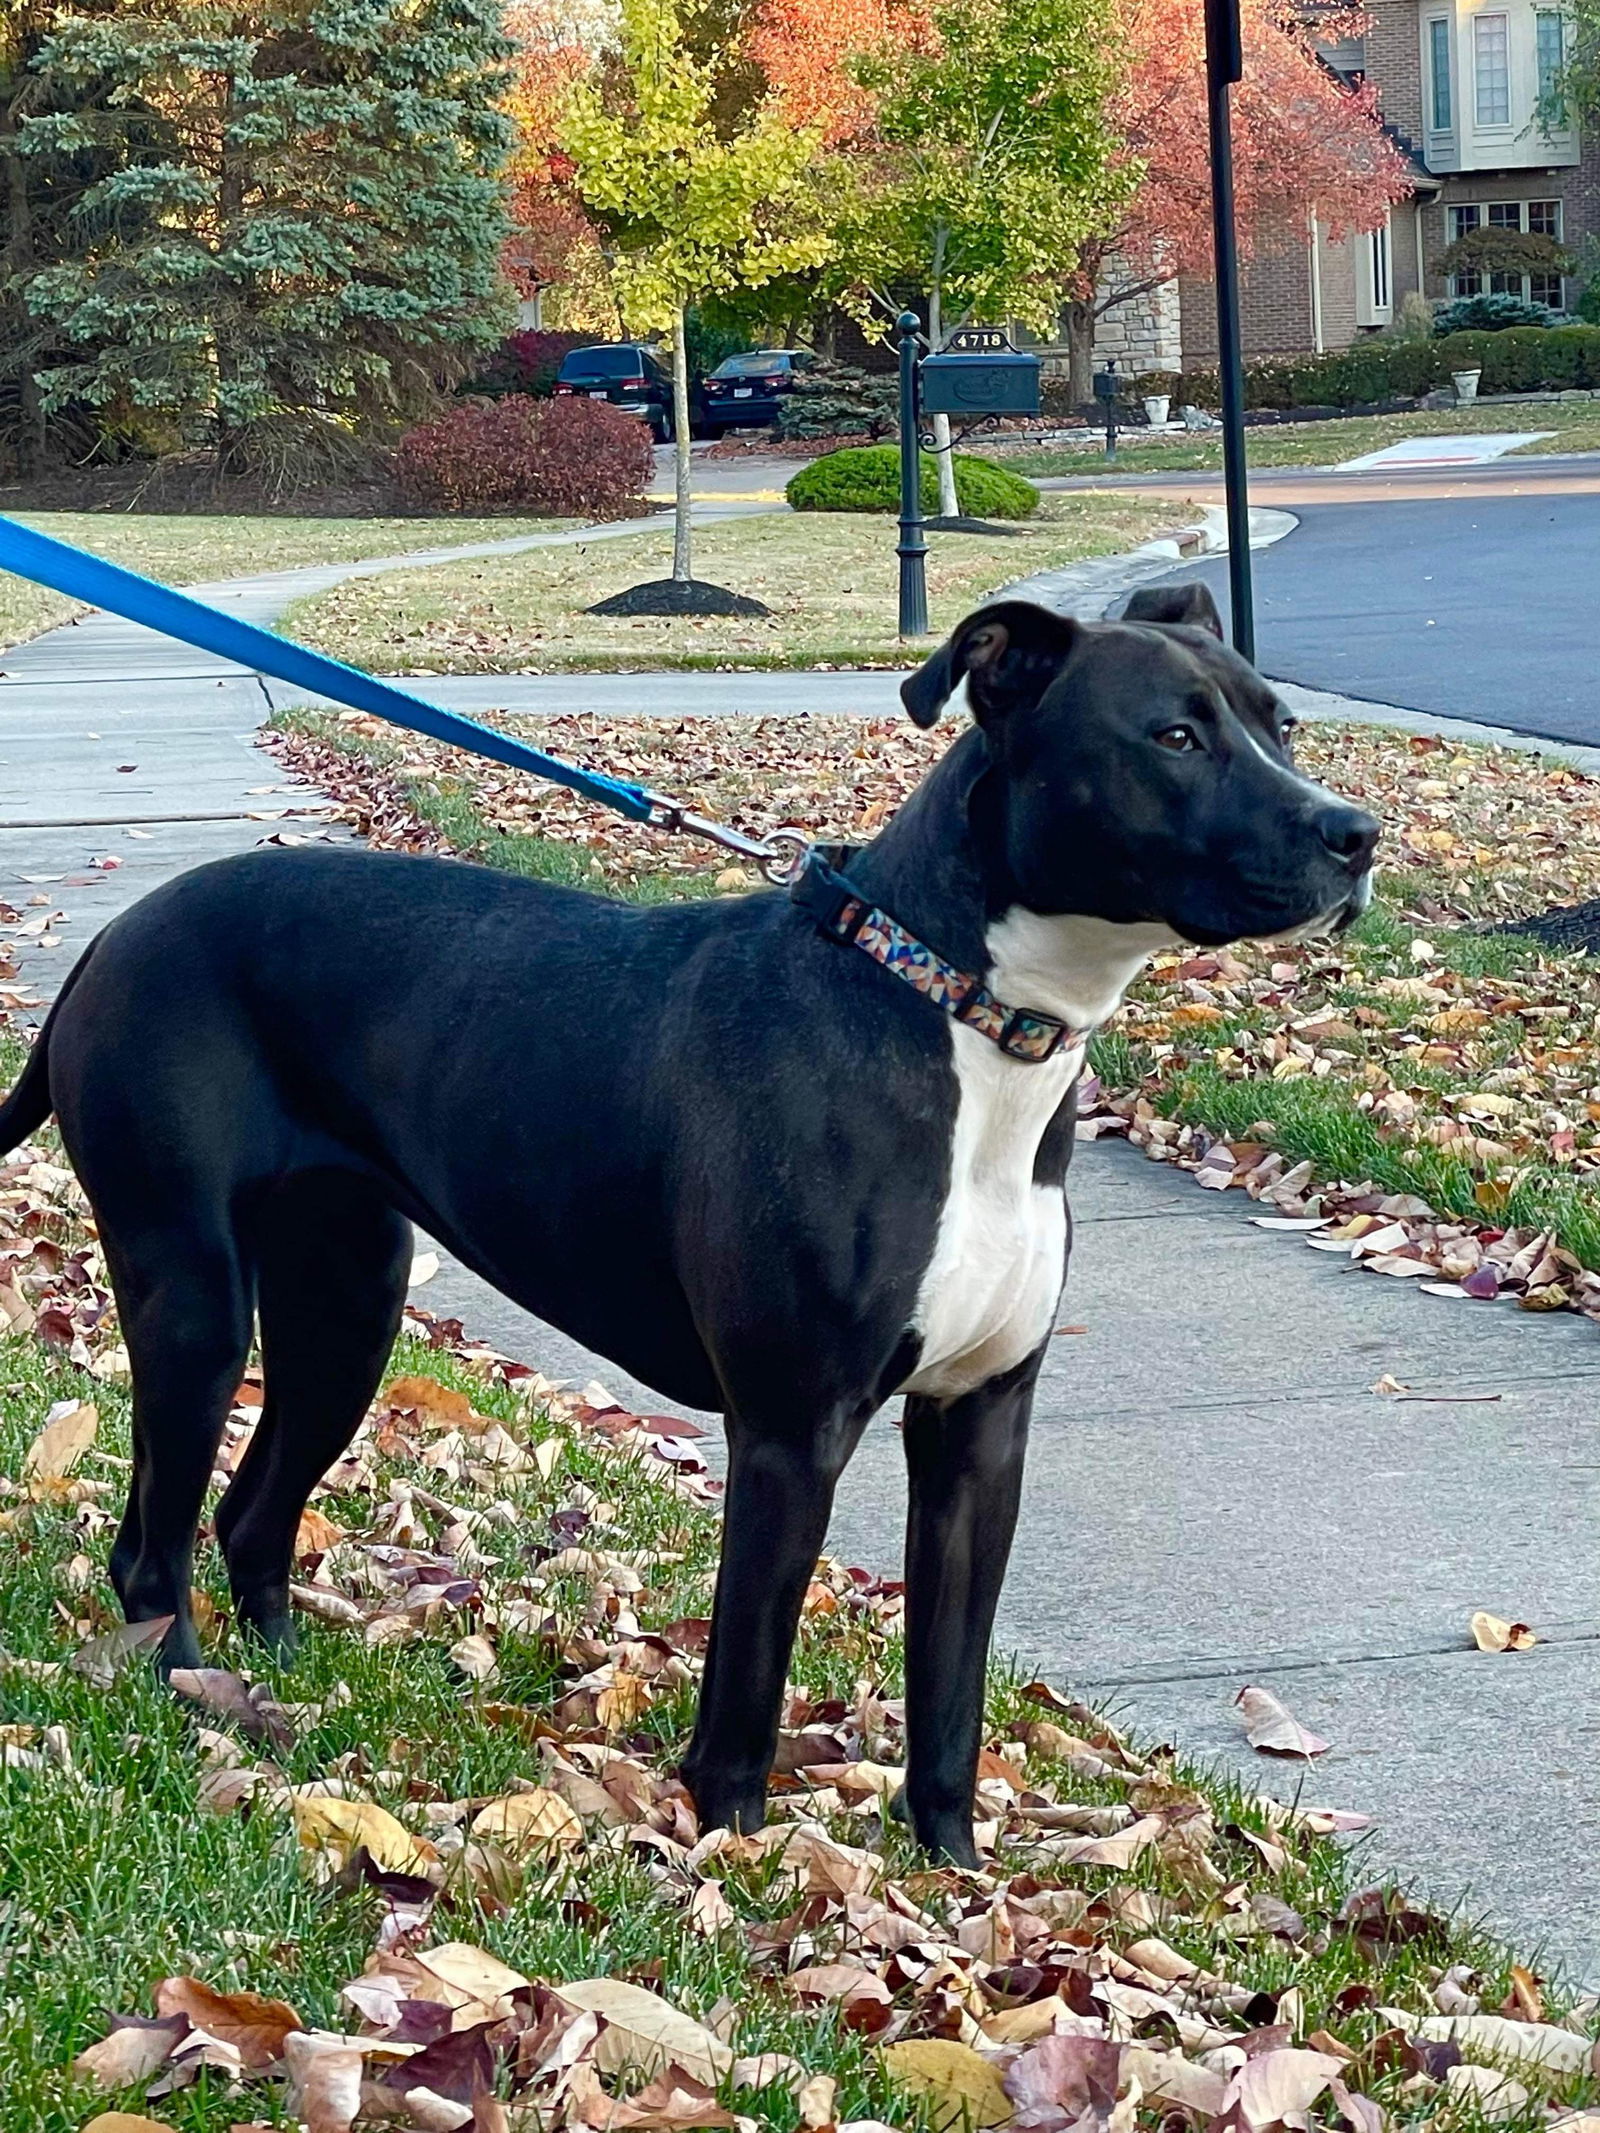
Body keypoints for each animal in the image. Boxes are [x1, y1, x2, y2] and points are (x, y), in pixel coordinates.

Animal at [0, 584, 1382, 1868]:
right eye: (1171, 736)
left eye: (1280, 725)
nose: (1354, 834)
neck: (956, 1013)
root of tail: (116, 940)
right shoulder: (791, 1433)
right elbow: (747, 1685)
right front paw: (734, 1855)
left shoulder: (979, 1430)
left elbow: (949, 1690)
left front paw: (951, 1871)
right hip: (193, 1296)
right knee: (152, 1549)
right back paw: (192, 1695)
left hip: (345, 1301)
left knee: (251, 1511)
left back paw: (281, 1684)